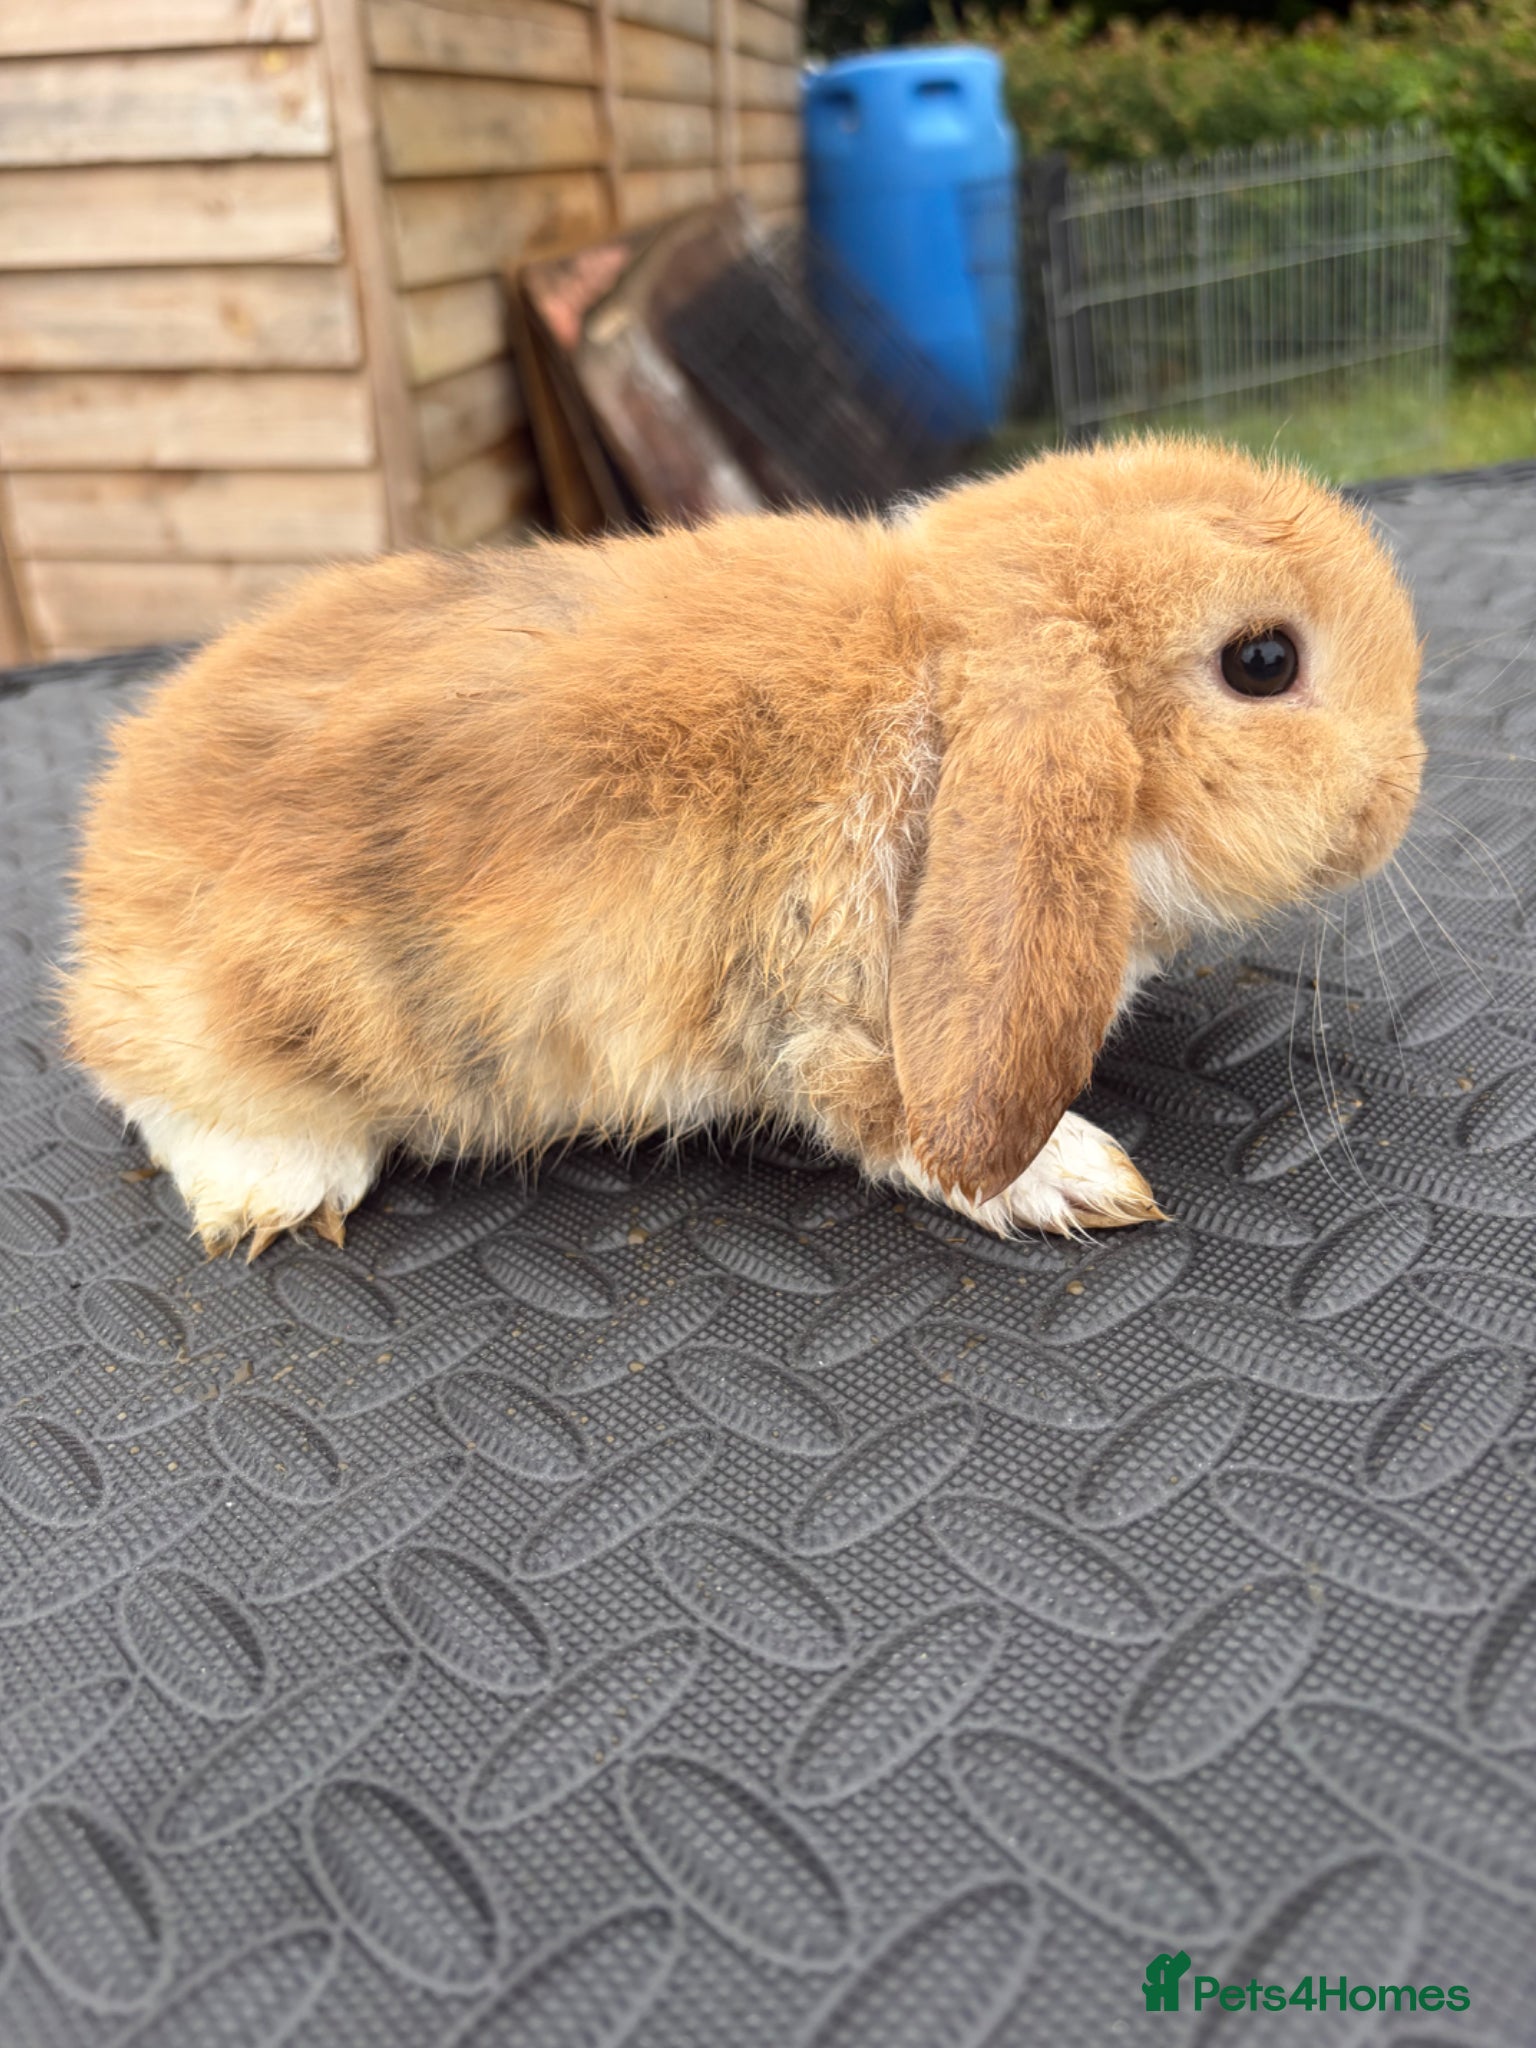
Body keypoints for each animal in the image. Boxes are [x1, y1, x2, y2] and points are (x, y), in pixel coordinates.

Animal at [63, 437, 1423, 1257]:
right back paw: (274, 1196)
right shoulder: (822, 1007)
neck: (933, 685)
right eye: (1264, 661)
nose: (1400, 793)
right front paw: (1077, 1177)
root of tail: (99, 878)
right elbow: (898, 1122)